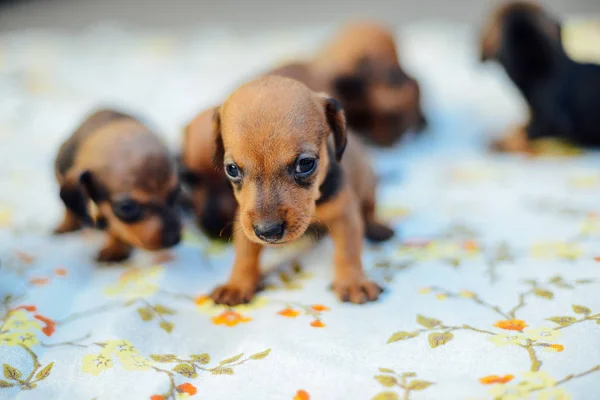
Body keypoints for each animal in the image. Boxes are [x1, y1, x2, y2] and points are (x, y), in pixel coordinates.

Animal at [54, 108, 182, 262]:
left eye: (176, 193)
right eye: (127, 207)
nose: (174, 239)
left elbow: (116, 227)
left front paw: (115, 249)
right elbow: (68, 207)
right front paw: (67, 224)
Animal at [210, 76, 394, 306]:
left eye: (306, 164)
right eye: (232, 169)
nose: (267, 231)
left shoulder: (345, 215)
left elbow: (348, 251)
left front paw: (353, 282)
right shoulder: (243, 220)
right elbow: (244, 254)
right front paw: (237, 284)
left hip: (368, 184)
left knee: (369, 209)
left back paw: (377, 228)